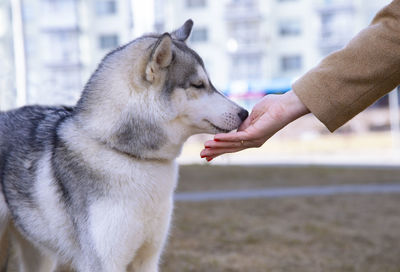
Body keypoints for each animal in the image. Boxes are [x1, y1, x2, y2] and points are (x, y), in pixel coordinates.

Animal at [0, 20, 247, 270]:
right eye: (198, 85)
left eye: (209, 83)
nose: (244, 113)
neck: (127, 153)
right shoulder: (104, 261)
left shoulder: (148, 259)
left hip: (39, 254)